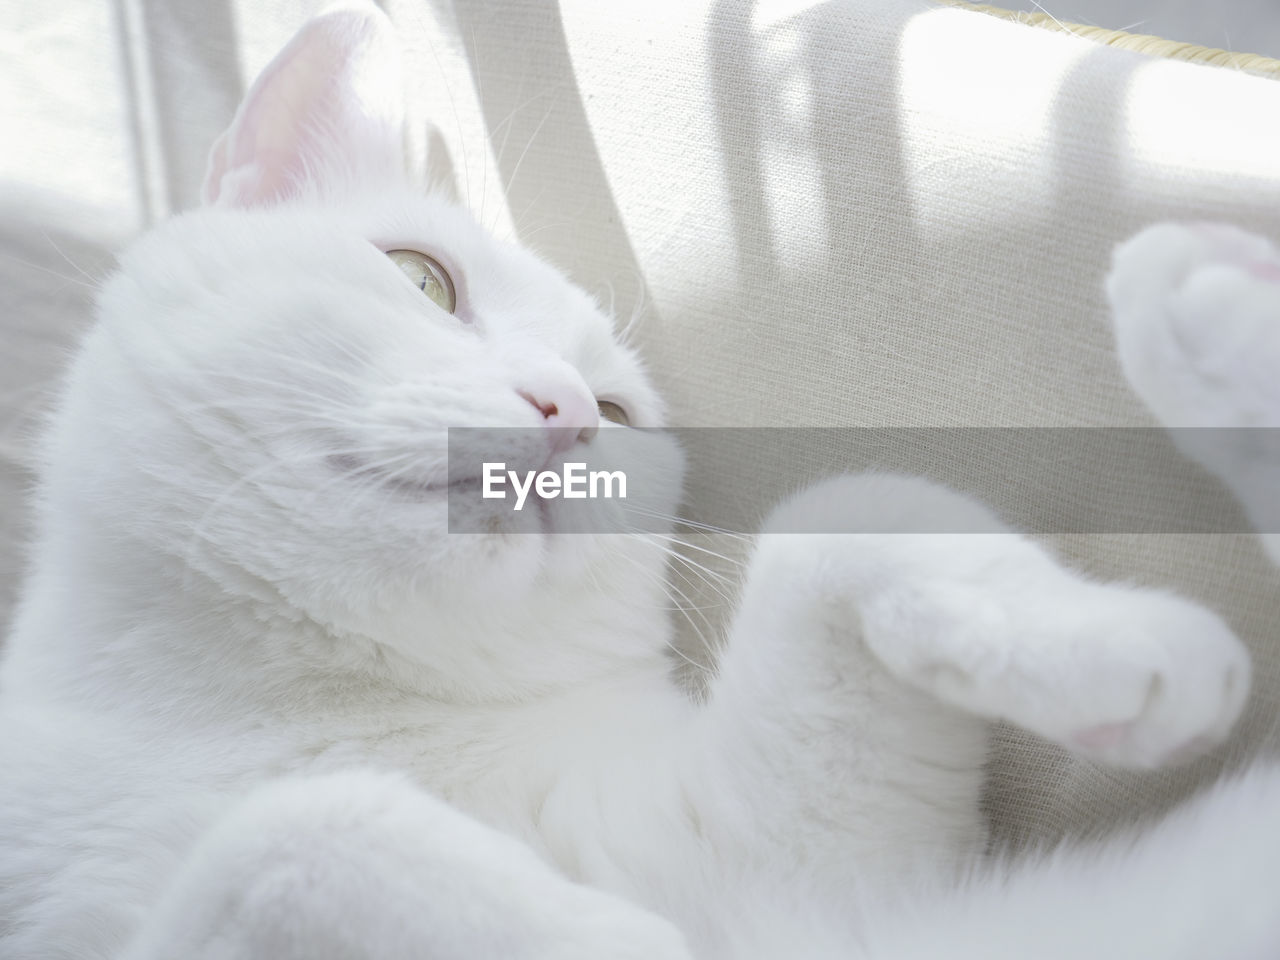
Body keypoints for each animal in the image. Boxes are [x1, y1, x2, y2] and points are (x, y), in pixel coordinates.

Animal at [0, 7, 1274, 960]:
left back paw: (1200, 298)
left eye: (613, 417)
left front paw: (1126, 647)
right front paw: (610, 938)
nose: (562, 412)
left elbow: (853, 507)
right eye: (419, 280)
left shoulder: (815, 859)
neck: (315, 714)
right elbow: (293, 834)